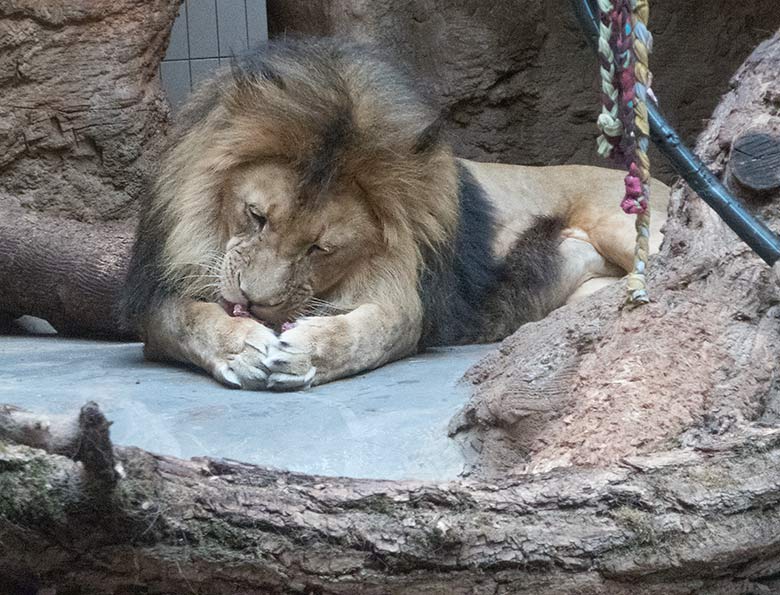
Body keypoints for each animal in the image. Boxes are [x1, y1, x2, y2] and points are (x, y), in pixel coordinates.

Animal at [120, 37, 664, 392]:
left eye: (320, 248)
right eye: (256, 216)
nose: (254, 302)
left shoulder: (408, 300)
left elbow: (371, 333)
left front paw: (305, 354)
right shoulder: (159, 301)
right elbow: (187, 322)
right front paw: (243, 348)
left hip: (621, 223)